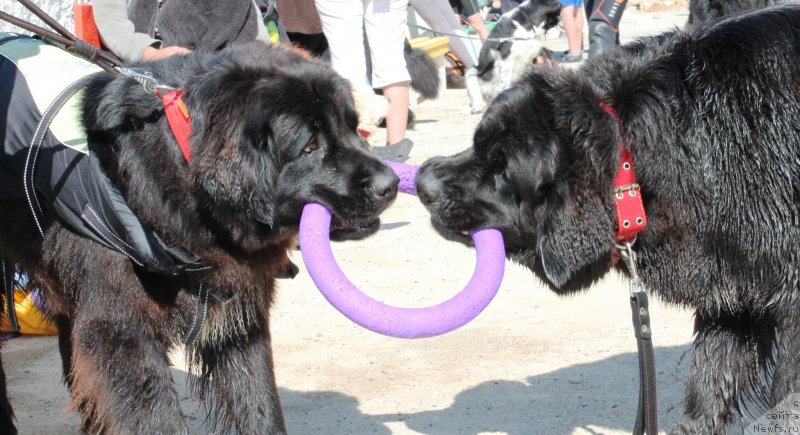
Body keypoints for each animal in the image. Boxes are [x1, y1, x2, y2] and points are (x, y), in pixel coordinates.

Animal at [0, 40, 398, 432]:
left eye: (352, 127)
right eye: (310, 146)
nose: (390, 183)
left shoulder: (238, 320)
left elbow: (259, 402)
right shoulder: (119, 330)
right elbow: (156, 417)